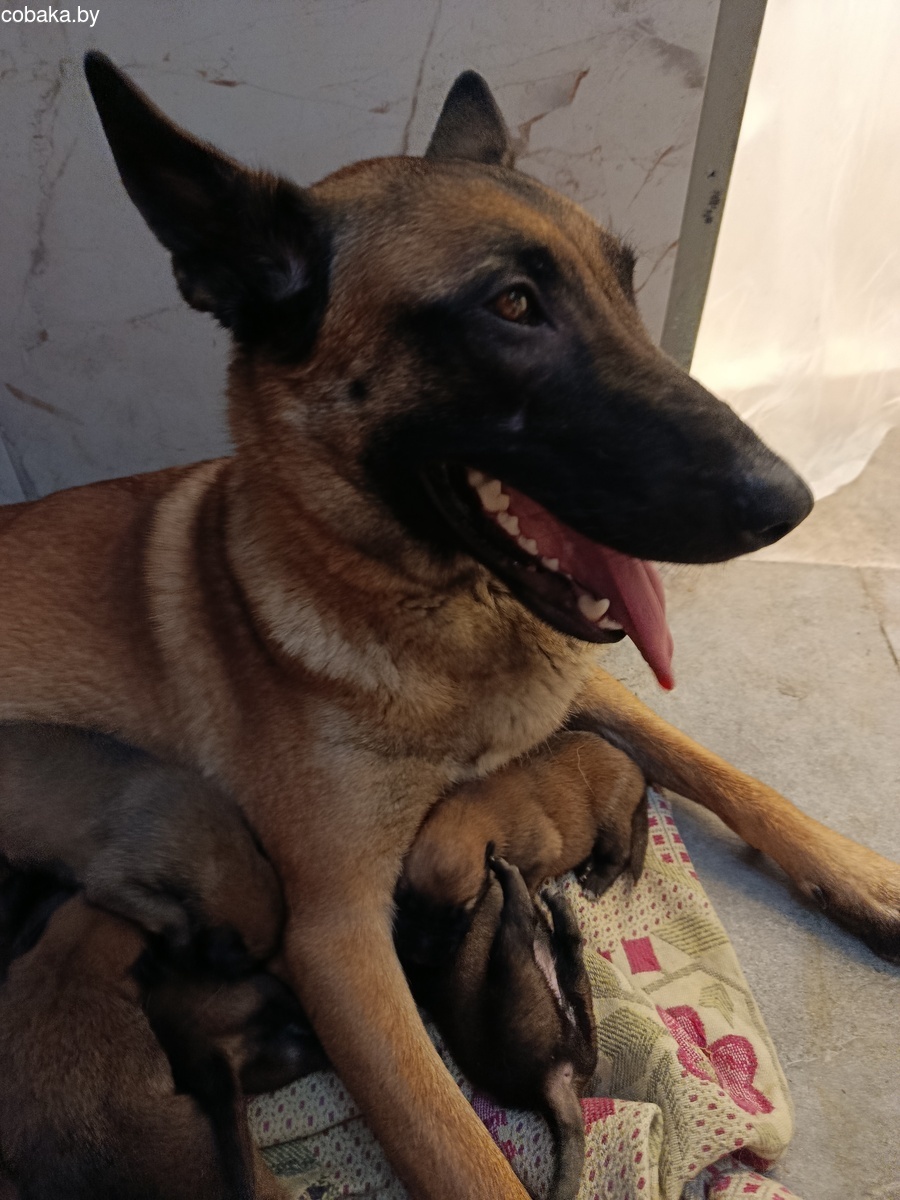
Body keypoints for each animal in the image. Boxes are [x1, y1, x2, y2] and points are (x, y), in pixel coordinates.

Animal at [0, 51, 897, 1200]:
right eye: (512, 305)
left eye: (625, 284)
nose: (792, 503)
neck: (439, 620)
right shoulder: (340, 945)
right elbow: (465, 1155)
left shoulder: (582, 681)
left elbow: (720, 766)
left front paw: (865, 877)